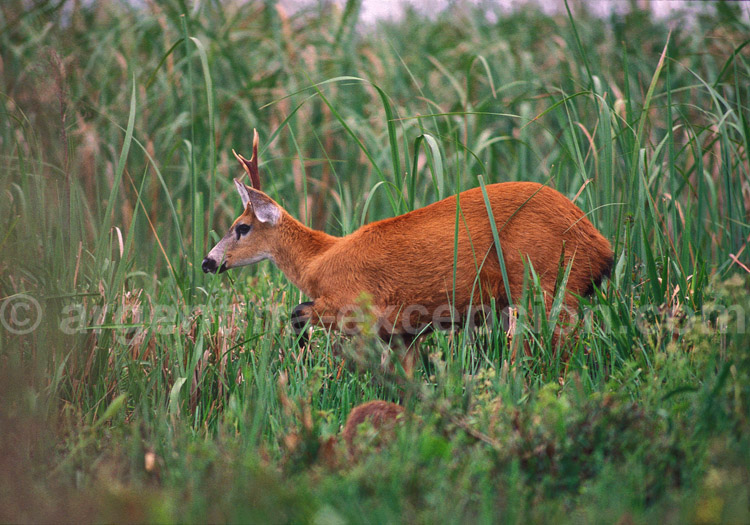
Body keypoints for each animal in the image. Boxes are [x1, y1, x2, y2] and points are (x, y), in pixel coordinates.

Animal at [202, 131, 614, 373]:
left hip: (545, 283)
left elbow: (297, 313)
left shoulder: (354, 306)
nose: (208, 262)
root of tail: (602, 247)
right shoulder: (403, 331)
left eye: (241, 227)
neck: (317, 261)